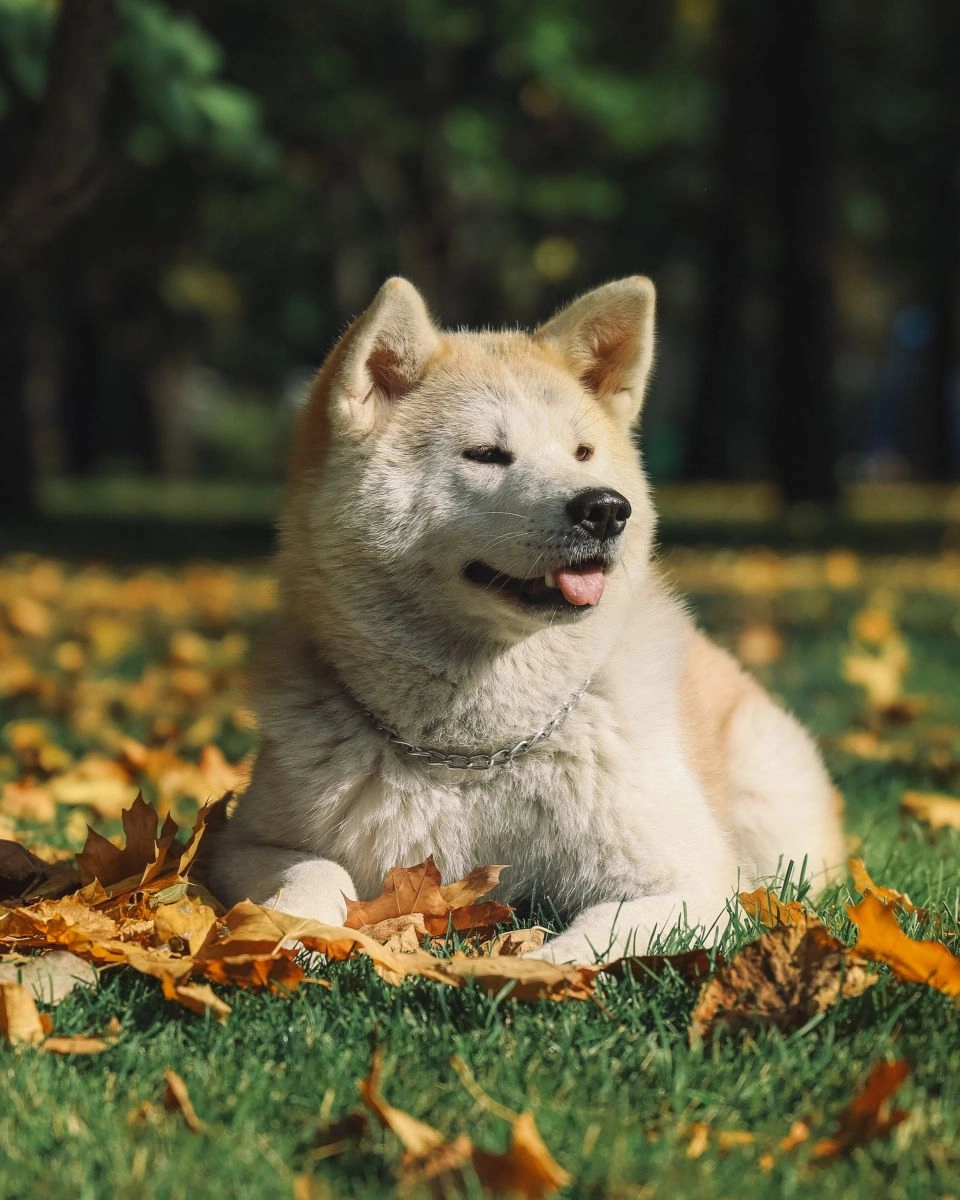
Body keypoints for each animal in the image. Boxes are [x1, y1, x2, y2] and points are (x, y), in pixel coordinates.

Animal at [206, 276, 844, 960]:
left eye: (583, 452)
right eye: (487, 454)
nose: (606, 508)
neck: (474, 754)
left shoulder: (695, 881)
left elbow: (592, 938)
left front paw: (528, 969)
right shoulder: (243, 844)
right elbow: (313, 870)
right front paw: (291, 932)